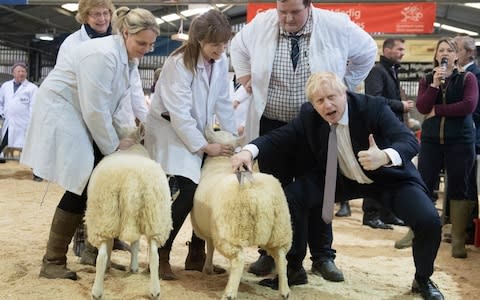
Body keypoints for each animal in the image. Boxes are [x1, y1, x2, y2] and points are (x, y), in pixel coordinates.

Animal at [86, 137, 172, 298]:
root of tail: (131, 180)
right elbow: (135, 243)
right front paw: (133, 267)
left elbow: (117, 244)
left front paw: (130, 267)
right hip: (155, 216)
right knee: (154, 255)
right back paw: (155, 291)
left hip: (103, 214)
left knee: (102, 255)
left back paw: (97, 291)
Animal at [191, 129, 292, 300]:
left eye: (216, 131)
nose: (212, 127)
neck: (219, 163)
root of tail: (257, 193)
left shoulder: (211, 230)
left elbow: (210, 247)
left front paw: (208, 268)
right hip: (280, 229)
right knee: (281, 258)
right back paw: (284, 291)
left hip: (231, 232)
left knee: (238, 260)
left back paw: (229, 293)